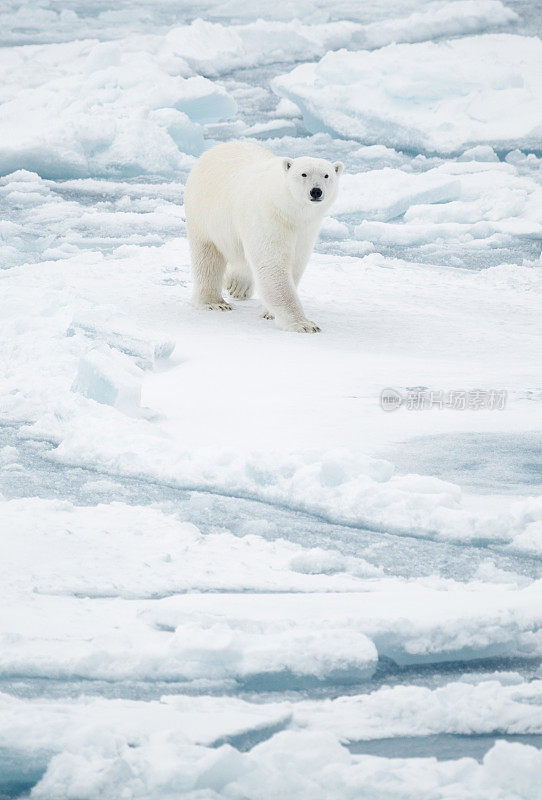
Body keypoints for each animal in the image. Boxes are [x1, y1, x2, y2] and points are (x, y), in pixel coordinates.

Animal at [183, 141, 344, 332]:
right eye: (303, 173)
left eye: (327, 175)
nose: (316, 191)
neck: (288, 210)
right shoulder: (269, 218)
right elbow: (272, 264)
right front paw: (304, 324)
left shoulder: (306, 229)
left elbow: (295, 263)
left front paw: (270, 313)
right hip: (204, 211)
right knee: (208, 257)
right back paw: (215, 302)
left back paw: (239, 286)